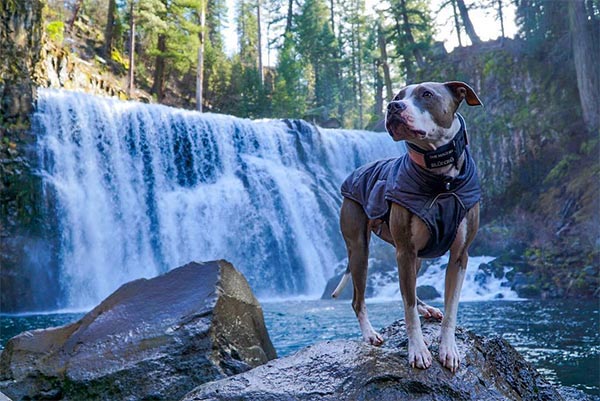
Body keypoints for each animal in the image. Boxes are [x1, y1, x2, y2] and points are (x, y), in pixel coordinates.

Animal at [332, 81, 482, 372]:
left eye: (427, 94)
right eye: (397, 96)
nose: (393, 106)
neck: (441, 181)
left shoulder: (459, 256)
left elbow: (451, 308)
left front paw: (448, 349)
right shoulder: (404, 251)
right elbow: (408, 307)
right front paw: (418, 350)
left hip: (415, 257)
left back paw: (428, 309)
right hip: (360, 250)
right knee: (359, 299)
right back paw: (370, 334)